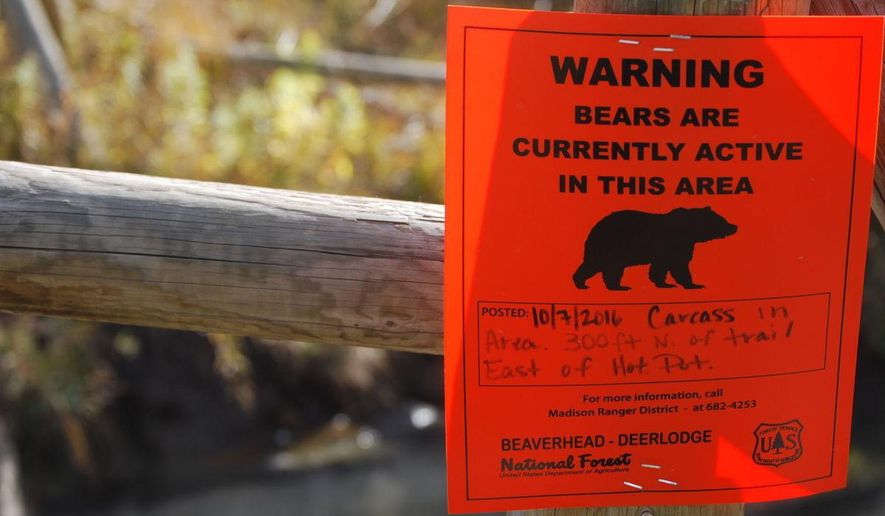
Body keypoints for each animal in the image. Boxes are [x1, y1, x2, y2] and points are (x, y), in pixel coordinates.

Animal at [572, 207, 738, 291]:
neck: (689, 231)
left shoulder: (671, 249)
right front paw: (693, 284)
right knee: (606, 267)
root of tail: (595, 228)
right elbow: (679, 266)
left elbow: (661, 267)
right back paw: (613, 286)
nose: (734, 226)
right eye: (721, 220)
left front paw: (664, 283)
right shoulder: (672, 244)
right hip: (612, 247)